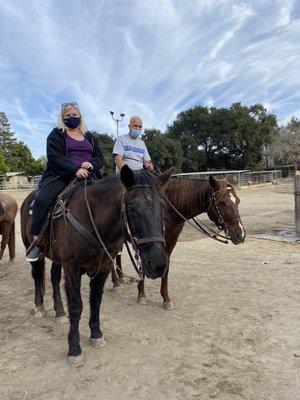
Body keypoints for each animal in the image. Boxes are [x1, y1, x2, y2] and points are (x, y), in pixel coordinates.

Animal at [20, 166, 171, 366]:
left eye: (163, 207)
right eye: (132, 208)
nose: (158, 264)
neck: (92, 219)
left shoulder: (103, 268)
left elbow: (96, 301)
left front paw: (96, 334)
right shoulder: (72, 269)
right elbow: (76, 306)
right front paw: (74, 349)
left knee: (54, 278)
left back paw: (59, 312)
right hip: (34, 249)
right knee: (37, 275)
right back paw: (39, 307)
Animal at [111, 175, 245, 310]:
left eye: (238, 201)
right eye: (222, 202)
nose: (241, 234)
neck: (168, 211)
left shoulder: (170, 242)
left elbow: (166, 267)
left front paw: (166, 299)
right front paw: (141, 294)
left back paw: (121, 278)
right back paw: (116, 283)